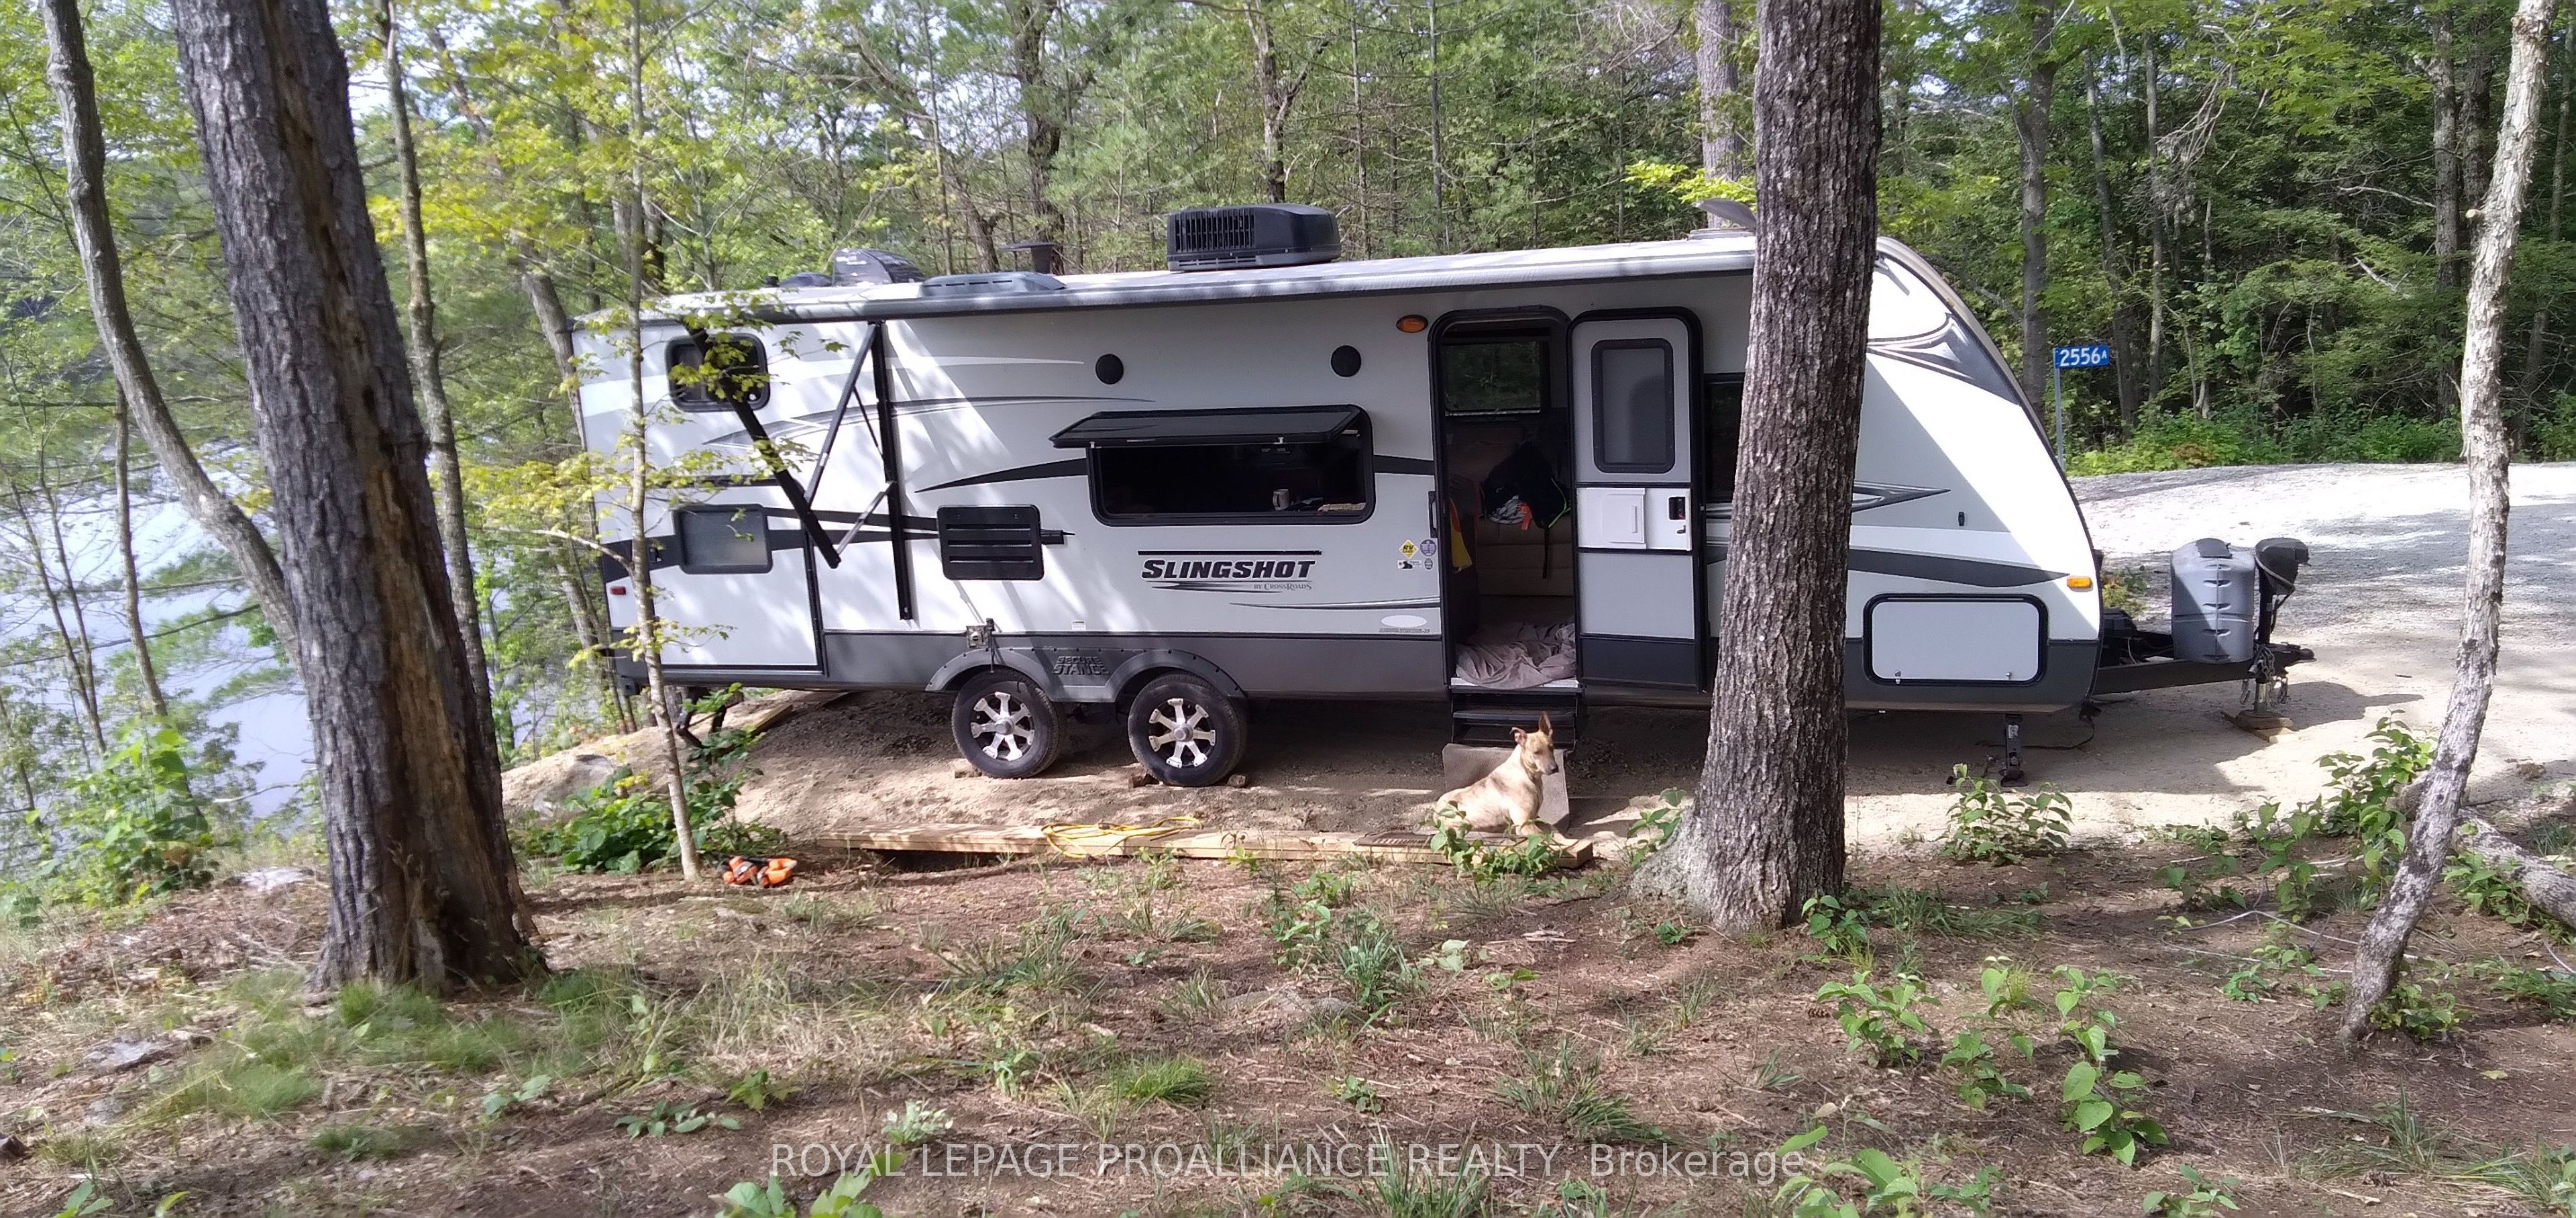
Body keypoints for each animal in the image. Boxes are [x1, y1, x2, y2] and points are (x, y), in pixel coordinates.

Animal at [1431, 713, 1565, 844]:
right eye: (1536, 752)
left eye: (1551, 747)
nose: (1554, 768)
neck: (1527, 774)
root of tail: (1435, 813)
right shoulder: (1524, 825)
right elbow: (1549, 839)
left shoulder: (1535, 819)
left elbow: (1556, 832)